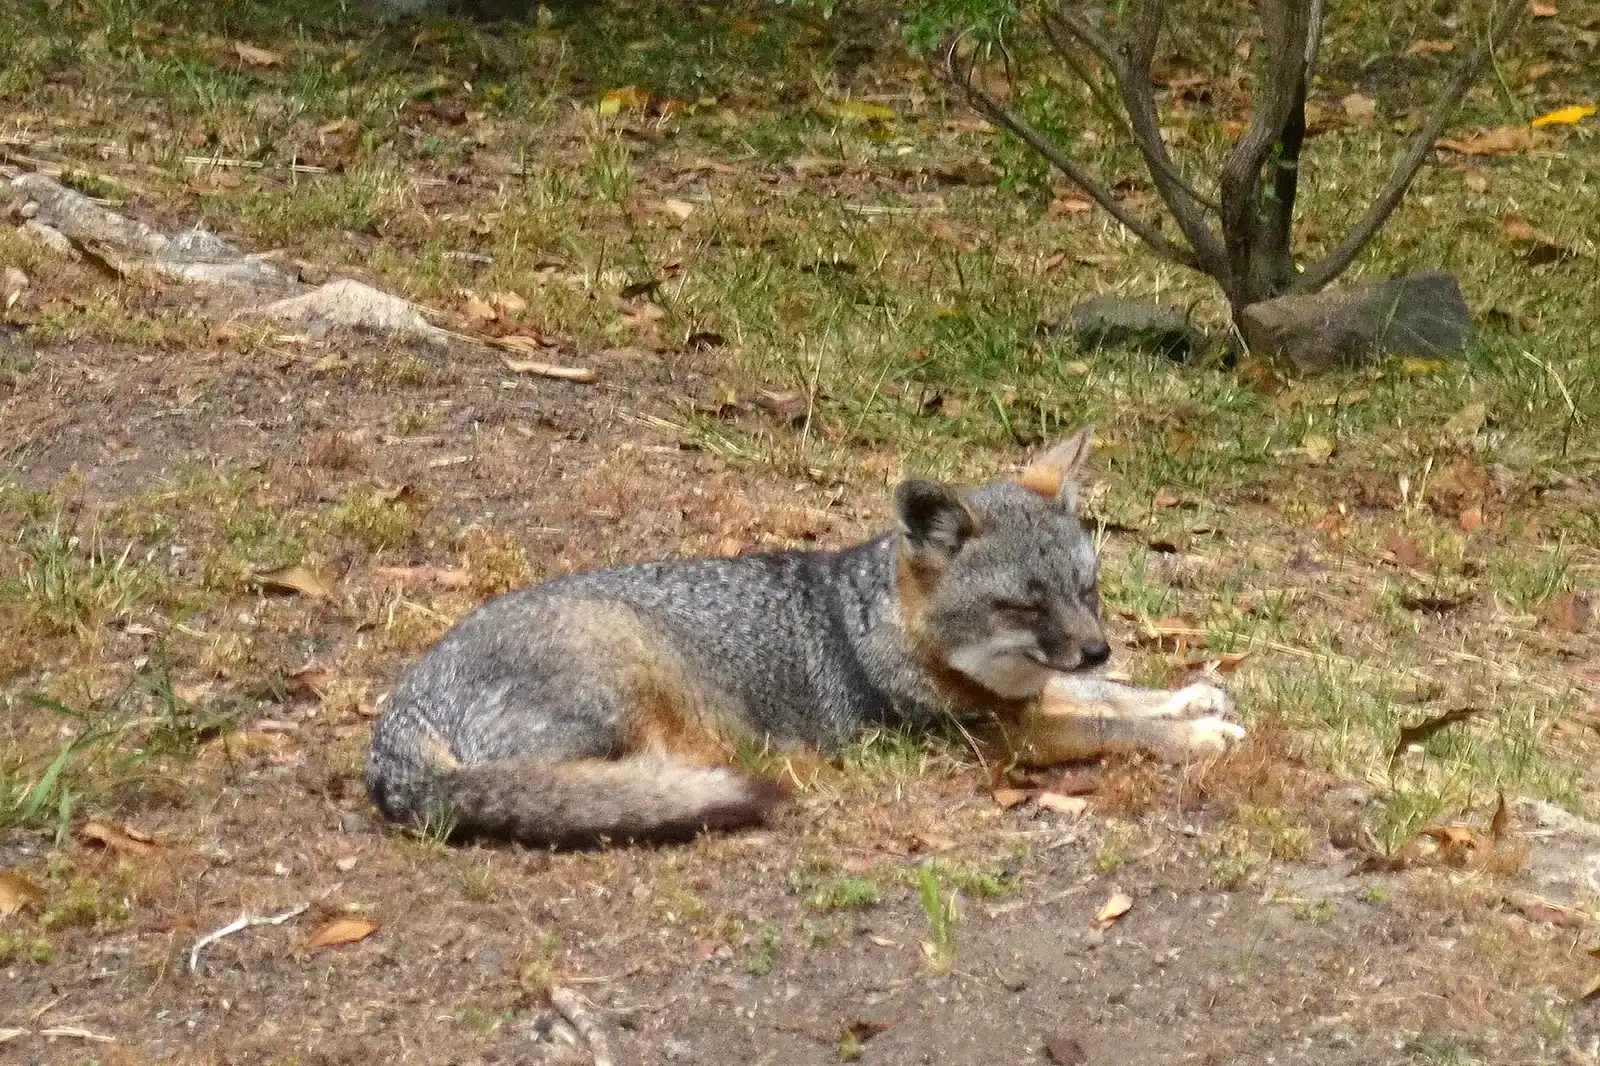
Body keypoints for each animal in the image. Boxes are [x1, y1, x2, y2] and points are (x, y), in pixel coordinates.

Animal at [365, 425, 1246, 849]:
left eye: (1085, 592)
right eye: (1023, 608)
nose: (1098, 643)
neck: (888, 631)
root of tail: (397, 721)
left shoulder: (1025, 699)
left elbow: (1103, 694)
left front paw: (1188, 695)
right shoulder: (996, 743)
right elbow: (1103, 723)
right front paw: (1195, 737)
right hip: (635, 680)